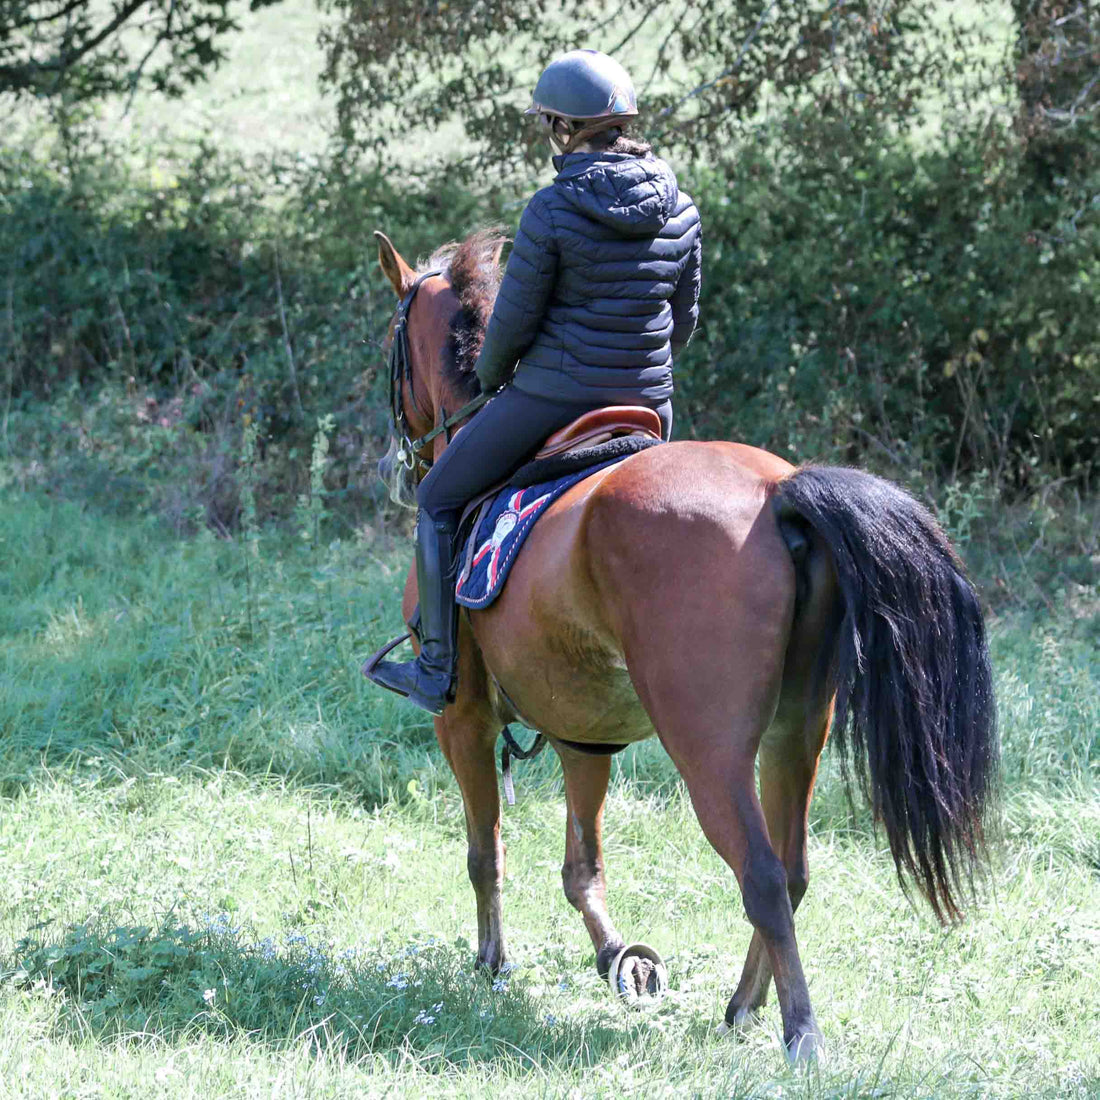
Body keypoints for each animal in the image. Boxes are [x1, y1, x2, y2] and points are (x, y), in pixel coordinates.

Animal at [367, 227, 998, 1060]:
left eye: (392, 346)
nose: (396, 463)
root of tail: (778, 496)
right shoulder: (583, 733)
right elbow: (582, 867)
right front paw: (619, 960)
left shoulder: (461, 719)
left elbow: (485, 851)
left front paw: (493, 964)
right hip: (796, 733)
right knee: (793, 870)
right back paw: (742, 1005)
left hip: (709, 747)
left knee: (761, 873)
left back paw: (799, 1034)